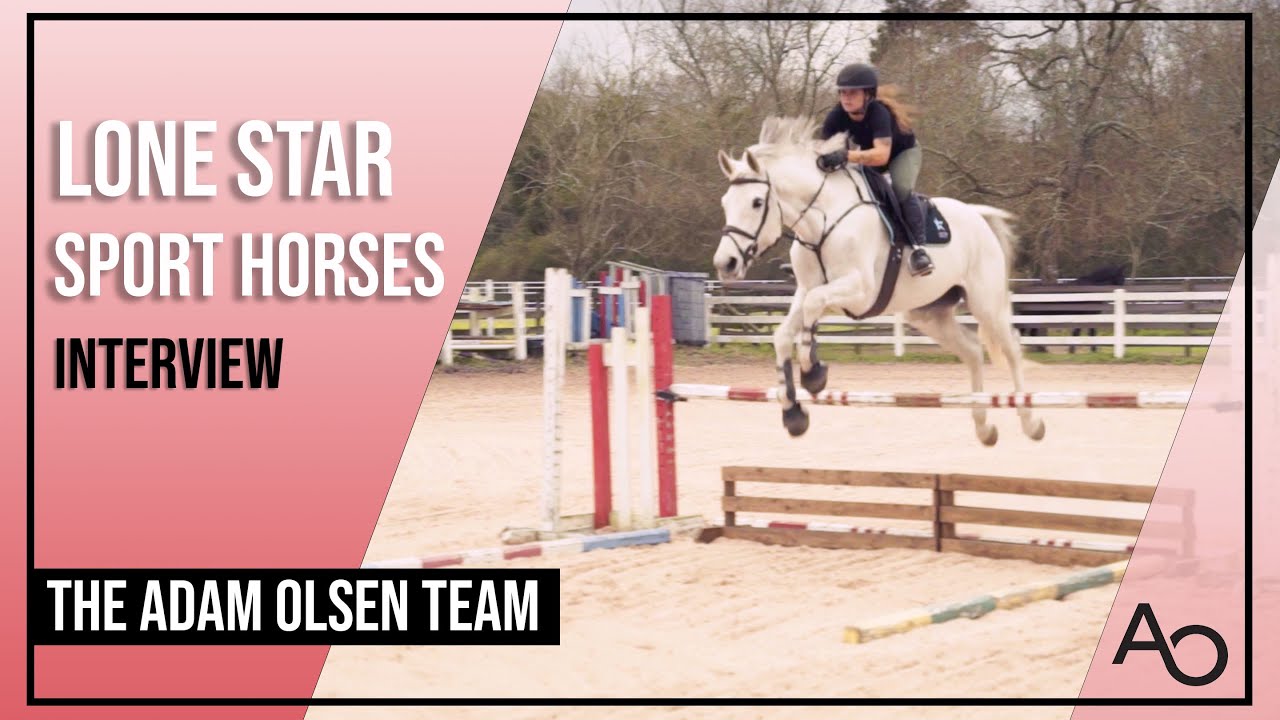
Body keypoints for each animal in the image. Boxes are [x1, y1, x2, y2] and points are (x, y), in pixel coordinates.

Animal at [713, 117, 1044, 446]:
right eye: (725, 202)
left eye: (757, 202)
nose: (725, 263)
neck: (822, 222)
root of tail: (977, 216)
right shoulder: (808, 290)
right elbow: (784, 333)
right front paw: (794, 414)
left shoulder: (861, 292)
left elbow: (813, 306)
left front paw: (813, 374)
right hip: (928, 314)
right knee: (973, 350)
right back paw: (984, 427)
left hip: (986, 304)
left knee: (1012, 350)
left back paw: (1031, 422)